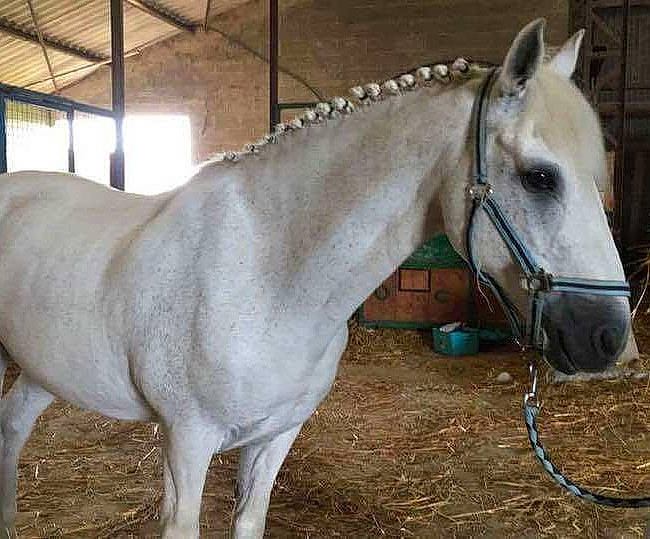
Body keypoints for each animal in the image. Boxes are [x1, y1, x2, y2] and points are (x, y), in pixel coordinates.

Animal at [0, 19, 631, 538]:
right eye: (540, 177)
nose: (608, 338)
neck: (265, 273)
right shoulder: (186, 442)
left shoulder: (275, 437)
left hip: (42, 372)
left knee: (12, 428)